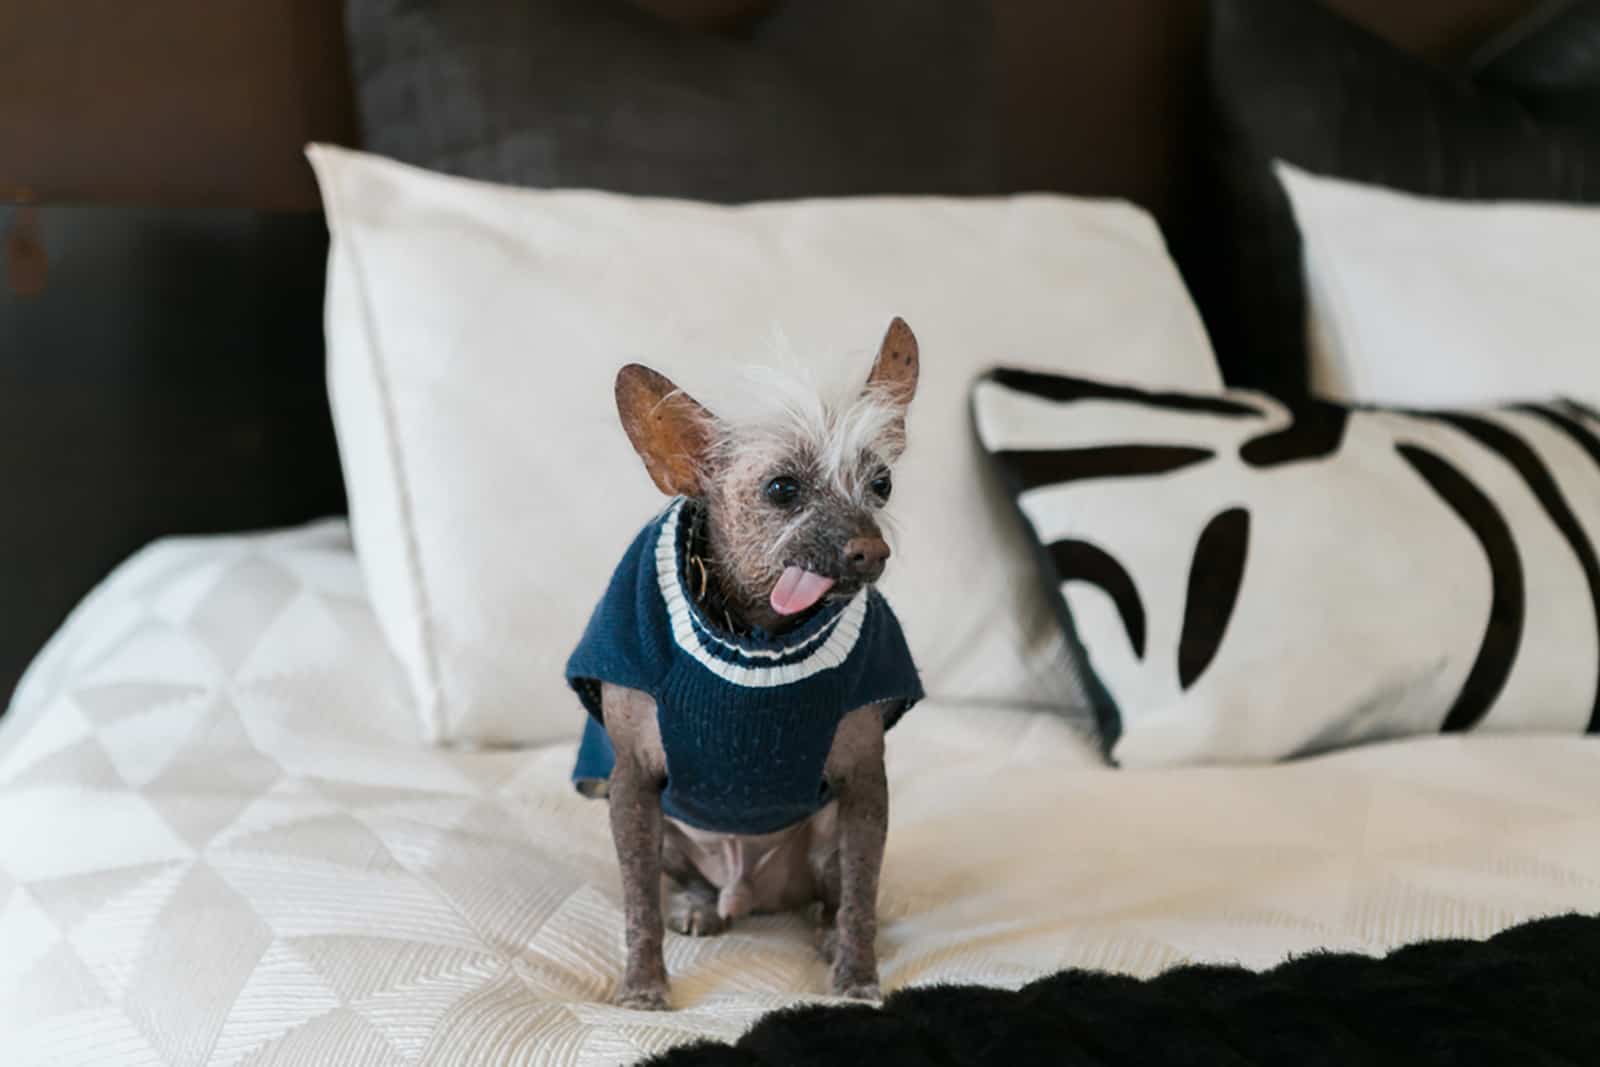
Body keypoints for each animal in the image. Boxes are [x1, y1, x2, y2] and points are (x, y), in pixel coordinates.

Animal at [569, 316, 934, 1011]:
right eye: (782, 489)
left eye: (882, 484)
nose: (872, 550)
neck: (760, 635)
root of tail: (753, 894)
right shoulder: (630, 782)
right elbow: (638, 906)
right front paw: (644, 988)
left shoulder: (865, 783)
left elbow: (862, 900)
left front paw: (856, 977)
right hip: (669, 833)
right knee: (682, 884)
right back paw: (697, 905)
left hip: (826, 836)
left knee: (836, 894)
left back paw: (822, 929)